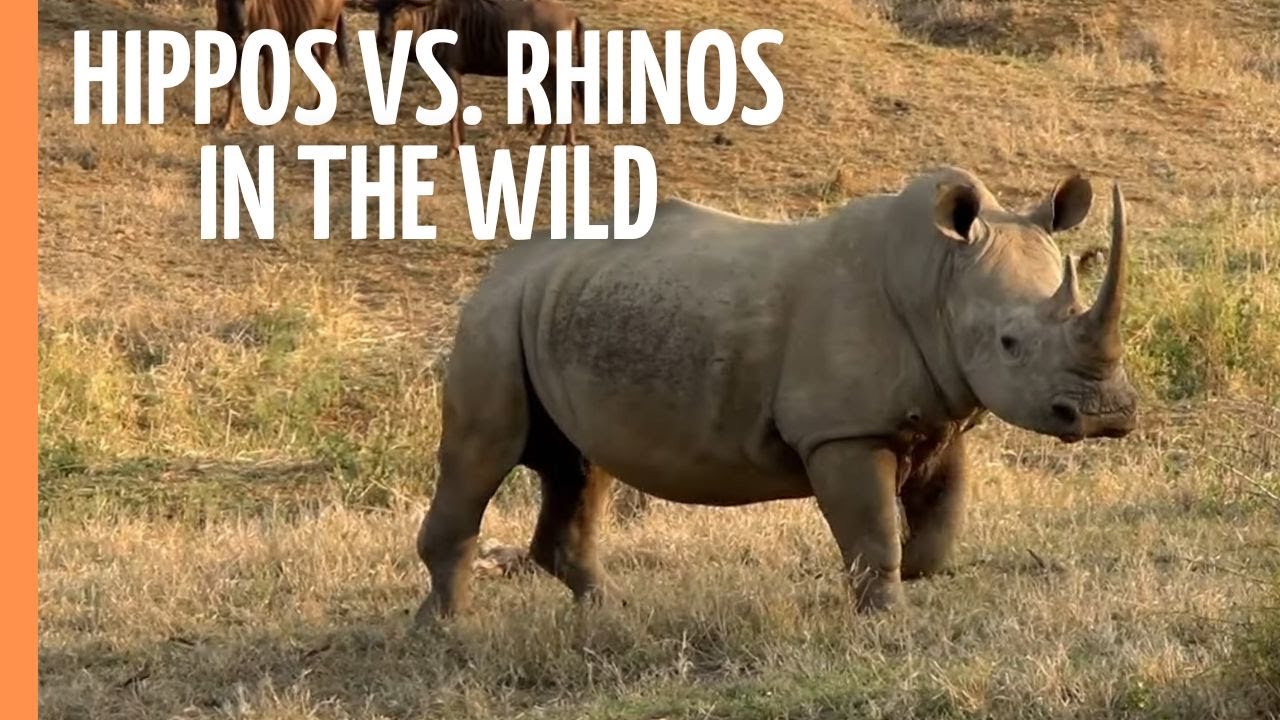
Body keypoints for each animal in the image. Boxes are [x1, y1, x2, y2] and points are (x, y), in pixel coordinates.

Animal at [415, 166, 1138, 621]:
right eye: (1011, 343)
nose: (1107, 415)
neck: (940, 279)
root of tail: (503, 265)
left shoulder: (944, 411)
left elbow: (937, 524)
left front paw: (912, 579)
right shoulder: (842, 430)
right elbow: (874, 531)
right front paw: (887, 619)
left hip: (561, 308)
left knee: (580, 466)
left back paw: (606, 614)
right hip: (492, 321)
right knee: (482, 456)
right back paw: (450, 631)